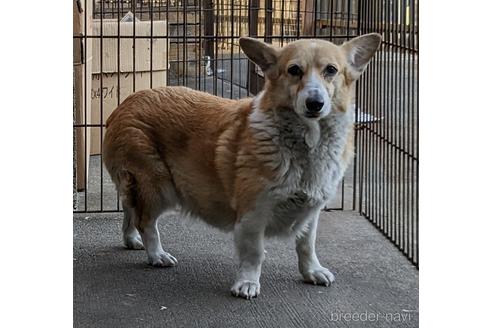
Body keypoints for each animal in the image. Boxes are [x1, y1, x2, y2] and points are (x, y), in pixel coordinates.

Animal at [103, 34, 380, 300]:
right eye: (294, 70)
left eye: (331, 70)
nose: (315, 103)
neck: (307, 143)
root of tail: (125, 104)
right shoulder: (253, 214)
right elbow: (254, 253)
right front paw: (247, 284)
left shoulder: (310, 213)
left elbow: (306, 245)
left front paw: (312, 271)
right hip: (158, 187)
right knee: (146, 221)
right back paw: (157, 254)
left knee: (130, 210)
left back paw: (131, 239)